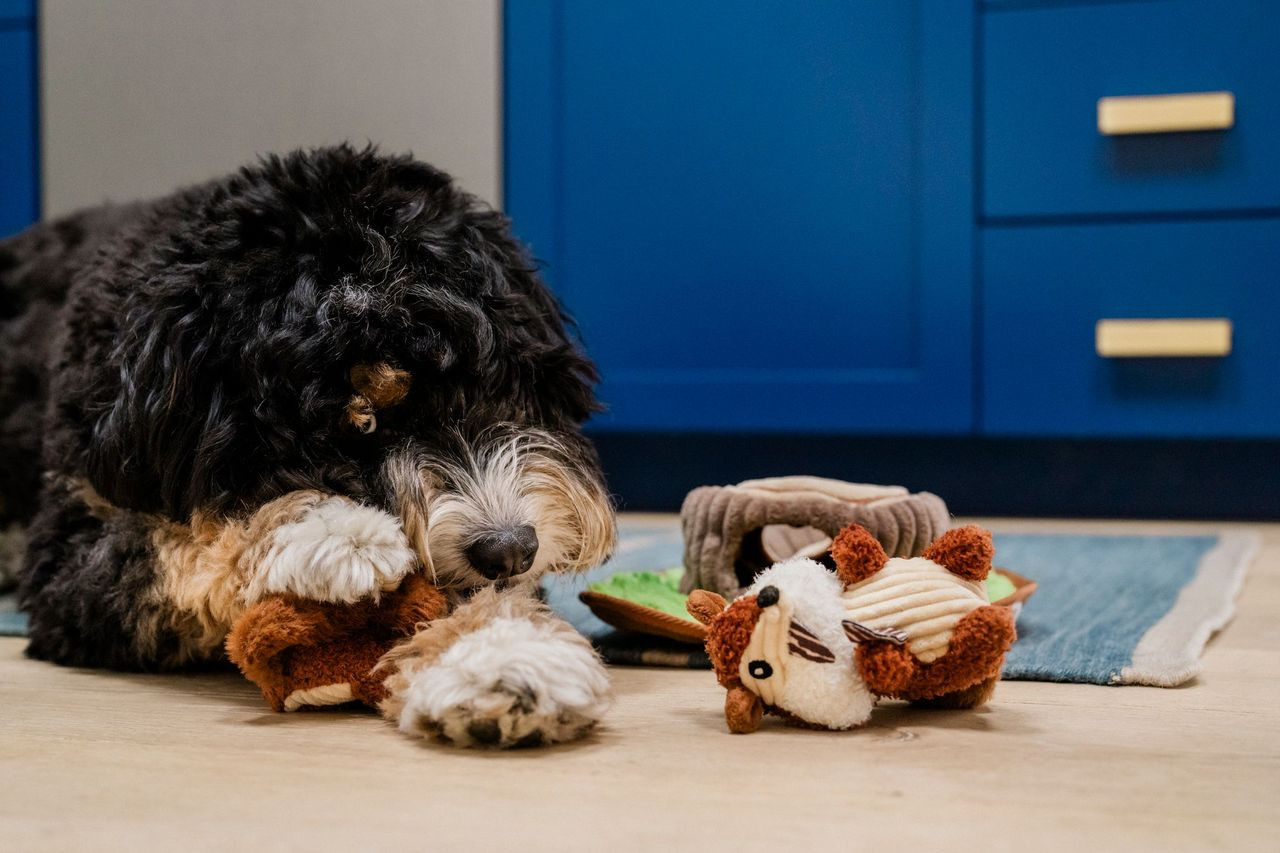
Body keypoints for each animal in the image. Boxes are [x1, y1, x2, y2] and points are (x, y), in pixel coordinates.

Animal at [0, 142, 619, 666]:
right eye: (359, 422)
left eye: (497, 387)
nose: (509, 550)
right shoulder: (69, 551)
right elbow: (179, 548)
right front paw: (333, 534)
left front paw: (510, 653)